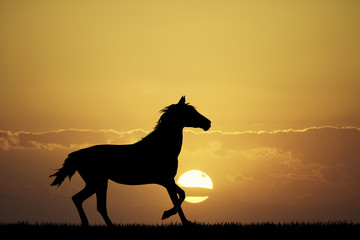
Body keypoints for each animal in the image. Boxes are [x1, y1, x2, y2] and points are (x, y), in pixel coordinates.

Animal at [49, 96, 210, 227]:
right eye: (190, 112)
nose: (208, 123)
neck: (160, 147)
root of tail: (77, 154)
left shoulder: (167, 181)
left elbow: (180, 196)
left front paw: (184, 222)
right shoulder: (167, 180)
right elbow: (180, 197)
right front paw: (169, 216)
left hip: (100, 183)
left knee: (93, 204)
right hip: (95, 182)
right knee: (81, 200)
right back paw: (91, 224)